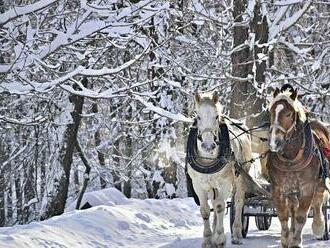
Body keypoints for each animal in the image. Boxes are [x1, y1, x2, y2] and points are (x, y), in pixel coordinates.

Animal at [186, 91, 253, 248]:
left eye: (216, 116)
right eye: (198, 116)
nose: (208, 146)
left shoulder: (225, 183)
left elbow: (220, 207)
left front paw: (220, 238)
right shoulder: (198, 185)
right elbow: (205, 210)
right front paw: (207, 240)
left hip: (241, 177)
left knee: (238, 202)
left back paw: (237, 234)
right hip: (212, 186)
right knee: (215, 203)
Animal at [266, 85, 328, 248]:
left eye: (288, 114)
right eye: (271, 111)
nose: (274, 143)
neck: (291, 158)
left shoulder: (307, 187)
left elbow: (301, 216)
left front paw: (296, 242)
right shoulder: (278, 188)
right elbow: (283, 216)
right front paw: (285, 239)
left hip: (319, 182)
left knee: (318, 202)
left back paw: (319, 226)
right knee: (293, 208)